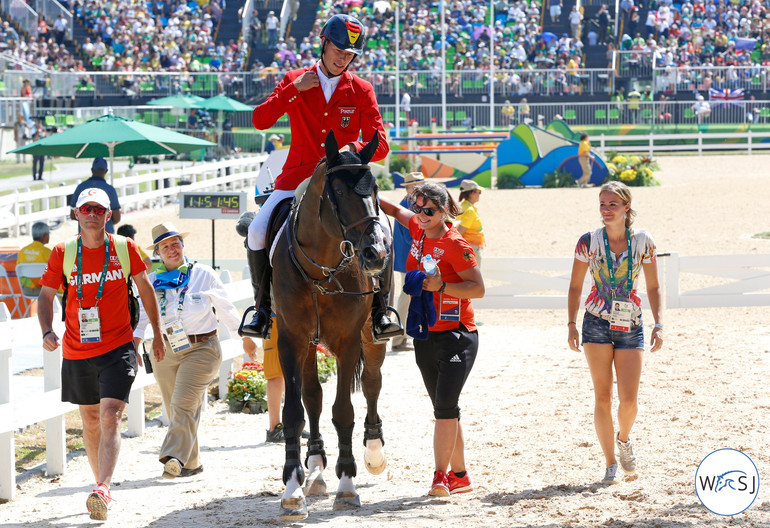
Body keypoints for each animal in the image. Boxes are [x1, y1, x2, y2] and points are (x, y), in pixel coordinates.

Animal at [272, 131, 390, 520]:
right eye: (337, 191)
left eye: (375, 189)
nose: (375, 253)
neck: (321, 270)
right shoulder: (290, 339)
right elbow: (295, 411)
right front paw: (293, 489)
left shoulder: (348, 341)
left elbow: (344, 411)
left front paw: (348, 485)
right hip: (310, 345)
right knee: (313, 396)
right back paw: (316, 467)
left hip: (371, 337)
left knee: (371, 384)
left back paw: (373, 452)